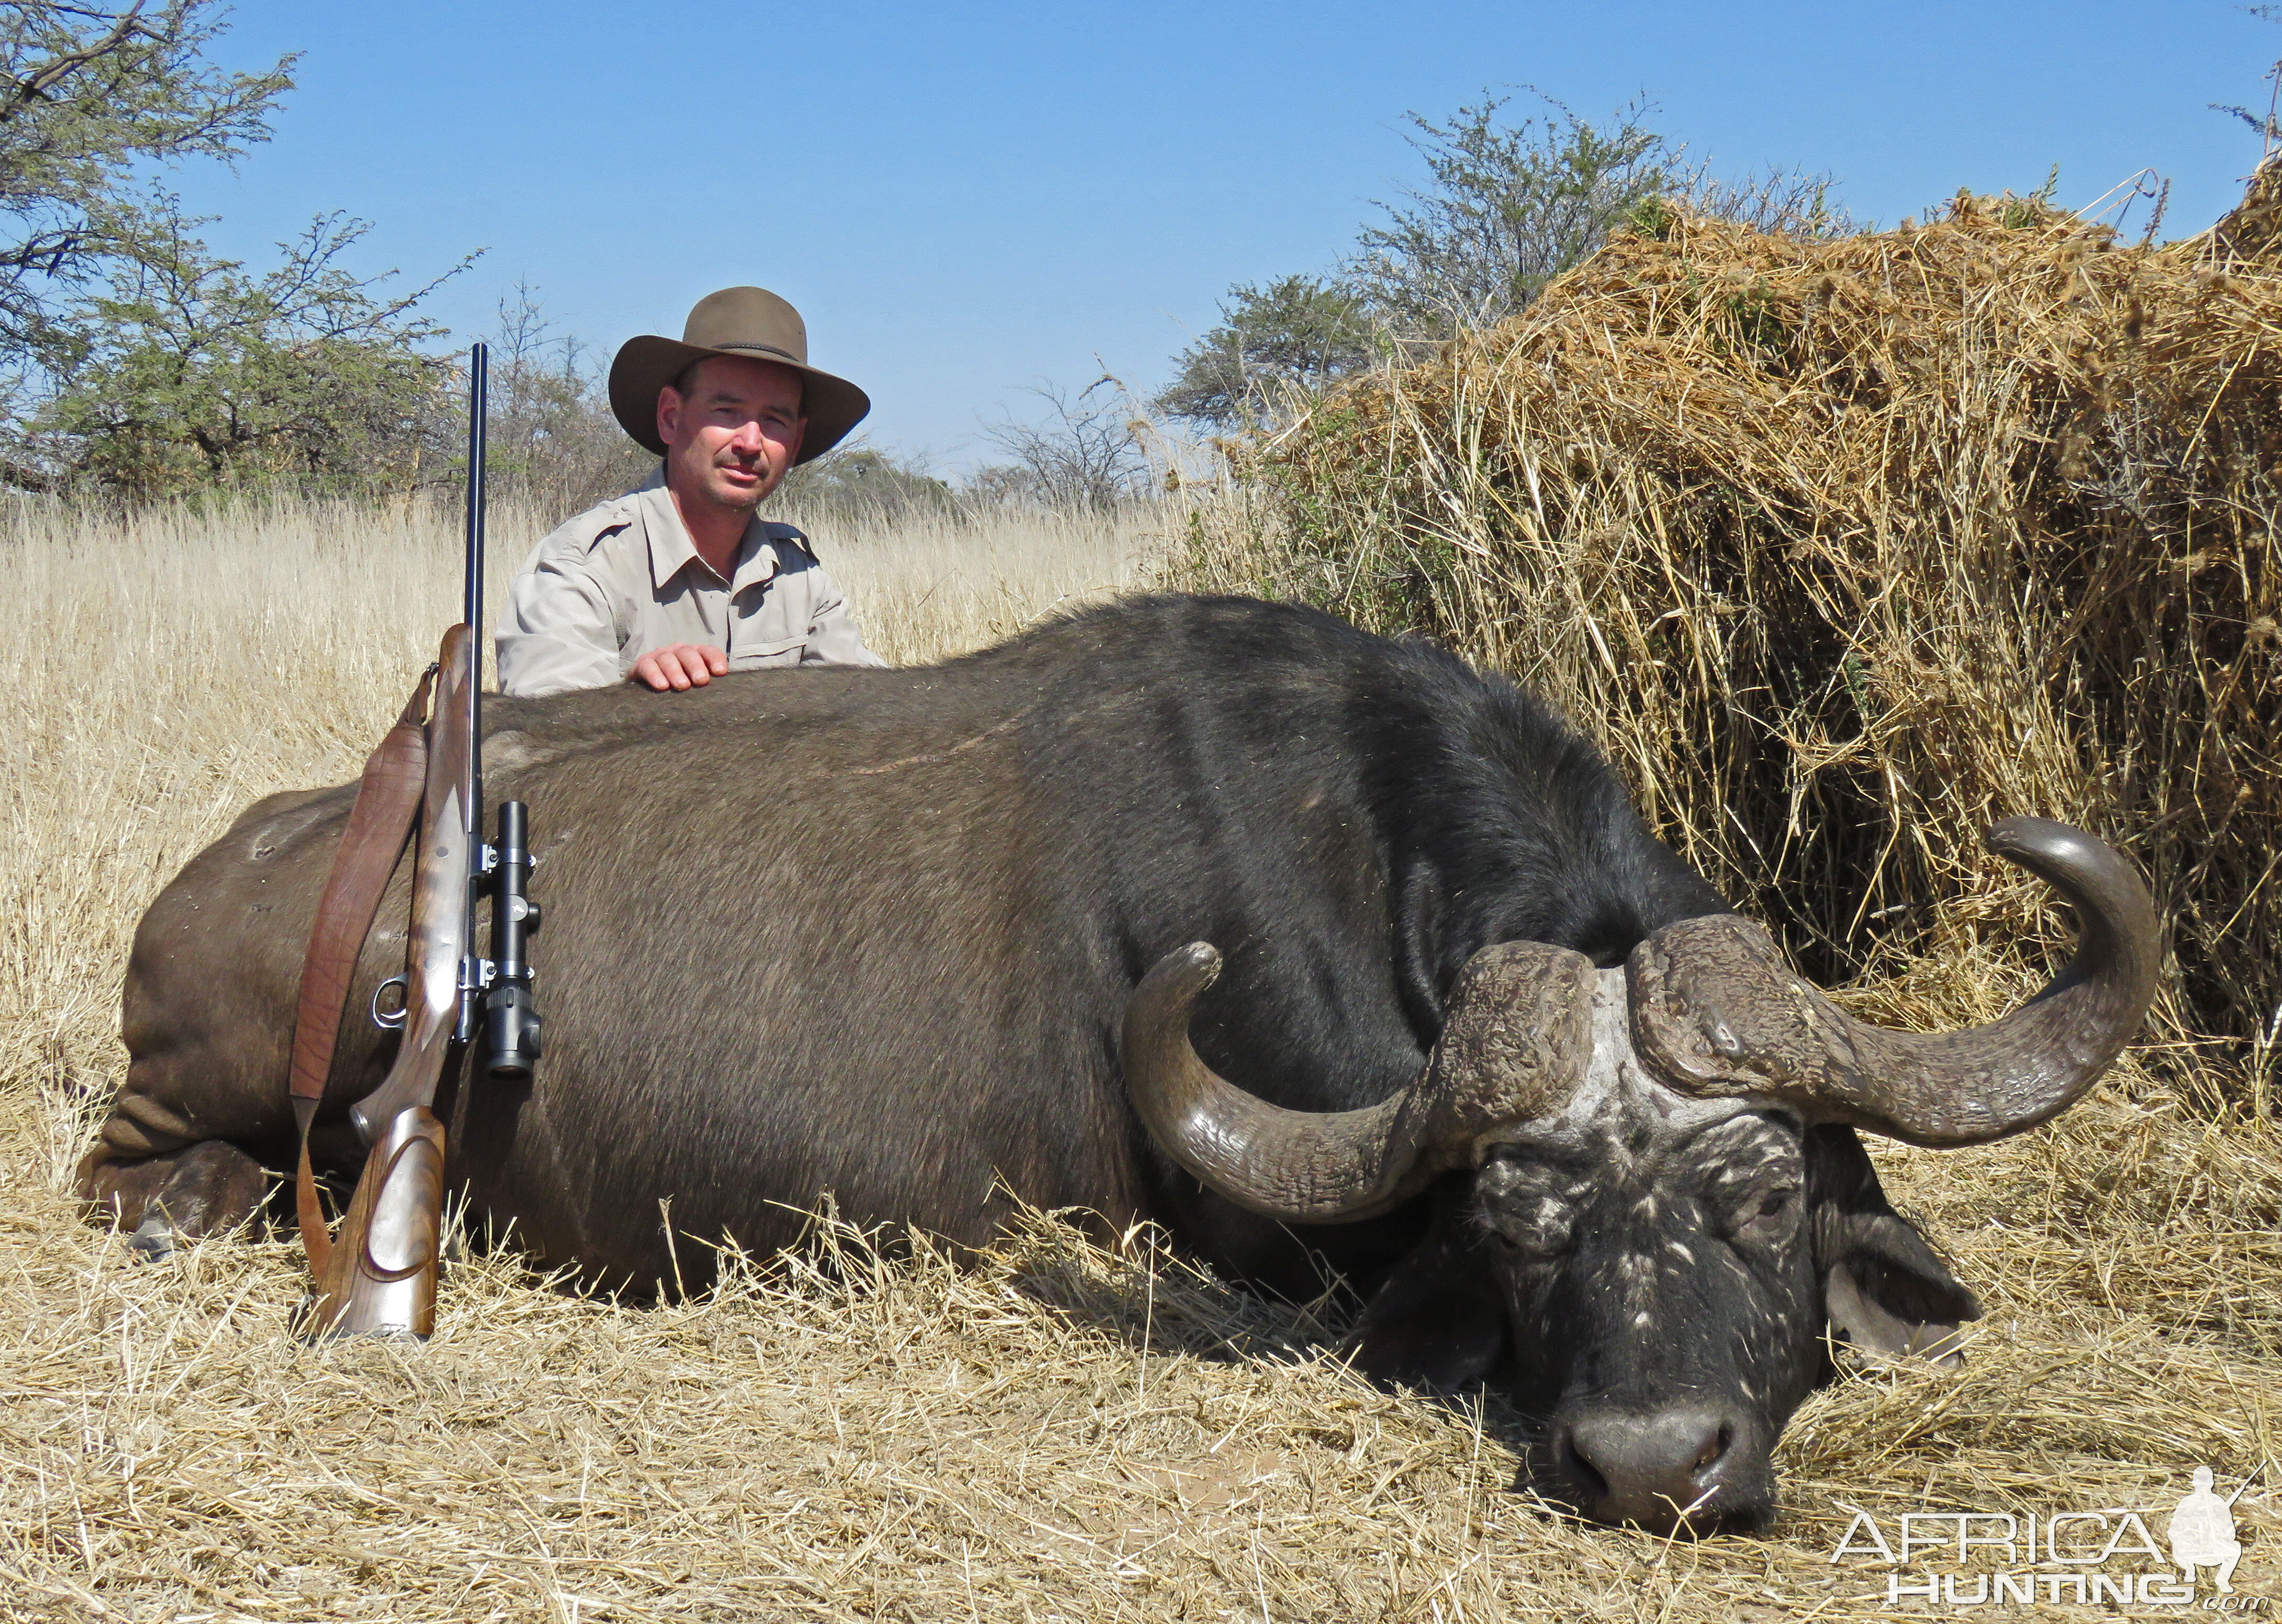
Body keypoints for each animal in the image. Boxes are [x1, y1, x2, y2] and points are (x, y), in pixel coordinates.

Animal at [84, 588, 2154, 1532]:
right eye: (1515, 1224)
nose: (1653, 1460)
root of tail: (245, 850)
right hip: (188, 1085)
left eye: (1762, 1198)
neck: (1354, 856)